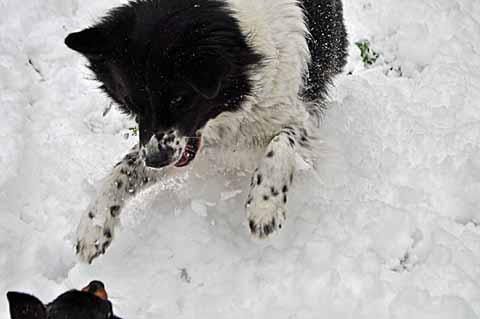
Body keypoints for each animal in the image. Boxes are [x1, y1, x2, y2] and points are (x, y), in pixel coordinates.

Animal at [65, 0, 346, 264]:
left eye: (179, 99)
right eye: (130, 103)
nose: (156, 161)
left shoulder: (298, 114)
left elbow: (281, 143)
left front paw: (265, 204)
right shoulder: (179, 144)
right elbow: (122, 171)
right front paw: (93, 227)